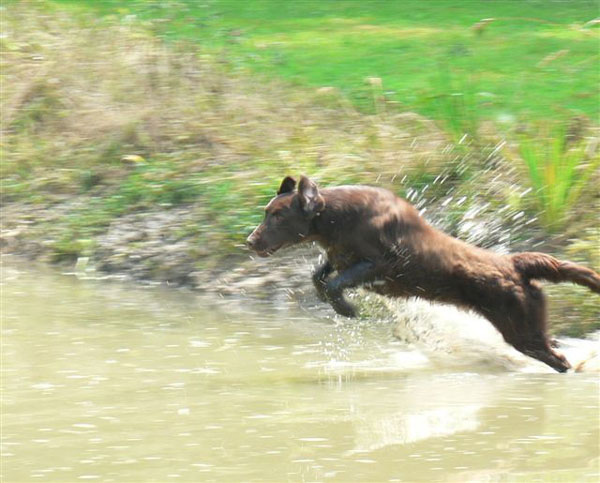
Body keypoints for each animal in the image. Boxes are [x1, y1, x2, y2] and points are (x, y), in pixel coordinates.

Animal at [246, 176, 596, 372]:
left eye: (278, 216)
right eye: (266, 212)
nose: (250, 241)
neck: (337, 218)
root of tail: (515, 263)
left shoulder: (382, 263)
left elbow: (335, 283)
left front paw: (347, 309)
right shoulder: (339, 257)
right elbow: (320, 277)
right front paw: (337, 304)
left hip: (521, 329)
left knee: (559, 361)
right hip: (529, 325)